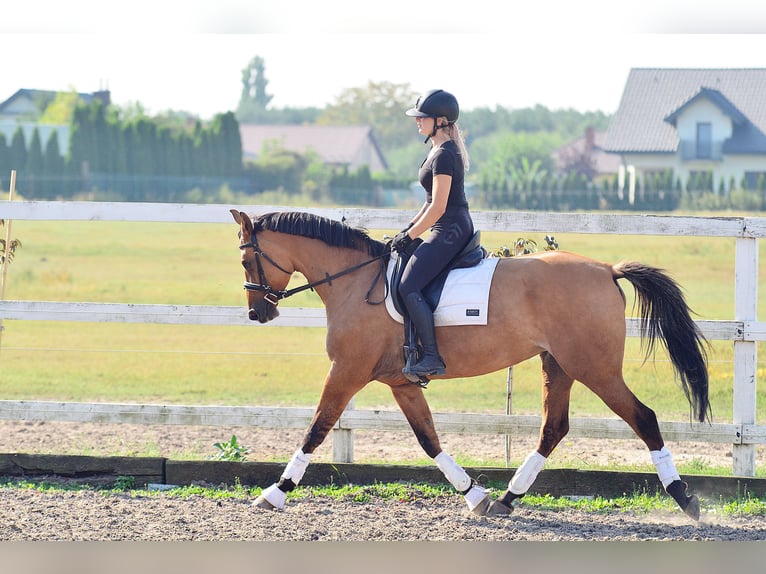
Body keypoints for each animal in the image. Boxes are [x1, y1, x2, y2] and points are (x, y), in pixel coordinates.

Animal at [231, 210, 712, 520]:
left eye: (244, 259)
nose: (258, 313)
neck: (354, 281)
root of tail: (606, 269)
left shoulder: (347, 371)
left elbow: (316, 428)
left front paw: (274, 493)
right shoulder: (400, 383)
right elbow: (429, 441)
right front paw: (474, 496)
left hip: (595, 368)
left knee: (643, 418)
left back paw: (685, 499)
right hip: (558, 365)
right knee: (553, 428)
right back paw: (506, 499)